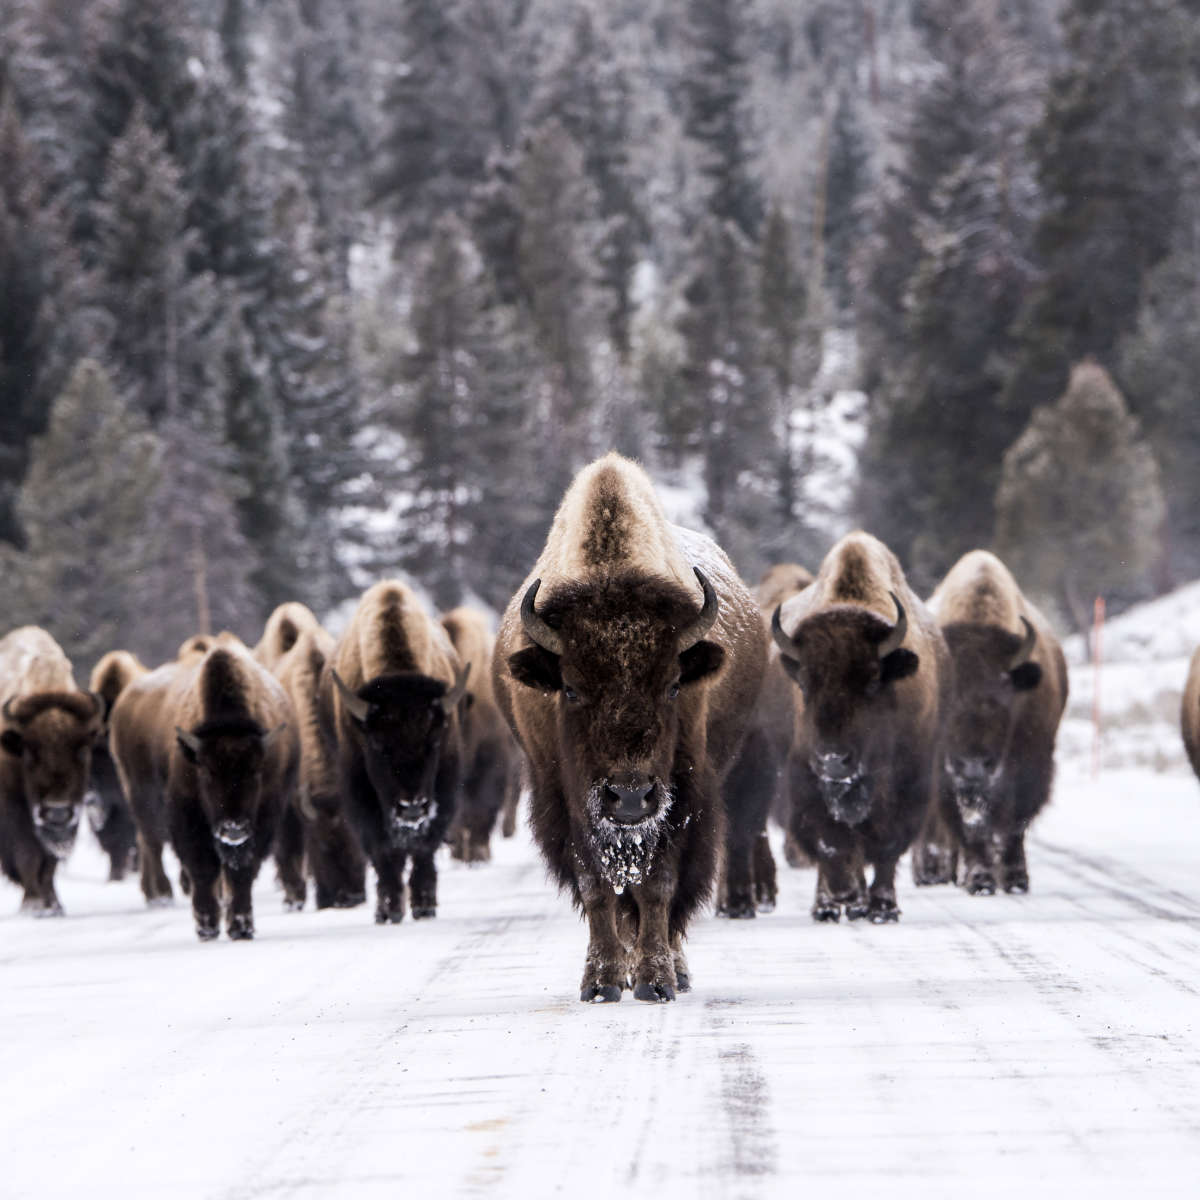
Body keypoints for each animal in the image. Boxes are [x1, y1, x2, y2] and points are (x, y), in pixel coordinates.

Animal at [0, 628, 106, 915]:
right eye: (29, 752)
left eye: (82, 751)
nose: (57, 812)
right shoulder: (17, 811)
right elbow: (27, 854)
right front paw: (32, 905)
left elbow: (49, 862)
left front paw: (54, 905)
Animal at [319, 581, 469, 924]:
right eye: (378, 745)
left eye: (434, 740)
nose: (411, 808)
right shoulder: (361, 792)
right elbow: (383, 851)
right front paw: (388, 910)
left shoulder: (443, 787)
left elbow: (425, 847)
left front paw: (424, 905)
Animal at [494, 453, 767, 1002]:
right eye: (570, 689)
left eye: (673, 685)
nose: (630, 796)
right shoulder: (567, 800)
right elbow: (597, 887)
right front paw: (601, 981)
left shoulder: (681, 797)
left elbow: (658, 886)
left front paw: (656, 980)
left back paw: (673, 970)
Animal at [772, 532, 951, 923]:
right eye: (804, 683)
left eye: (871, 682)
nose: (833, 760)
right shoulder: (806, 782)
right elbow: (831, 845)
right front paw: (840, 898)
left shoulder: (909, 786)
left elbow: (887, 847)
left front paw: (883, 907)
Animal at [912, 550, 1068, 895]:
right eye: (947, 696)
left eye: (1002, 696)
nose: (972, 766)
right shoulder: (944, 777)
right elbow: (967, 828)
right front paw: (980, 879)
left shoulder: (1029, 766)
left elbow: (1013, 823)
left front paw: (1015, 879)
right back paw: (932, 873)